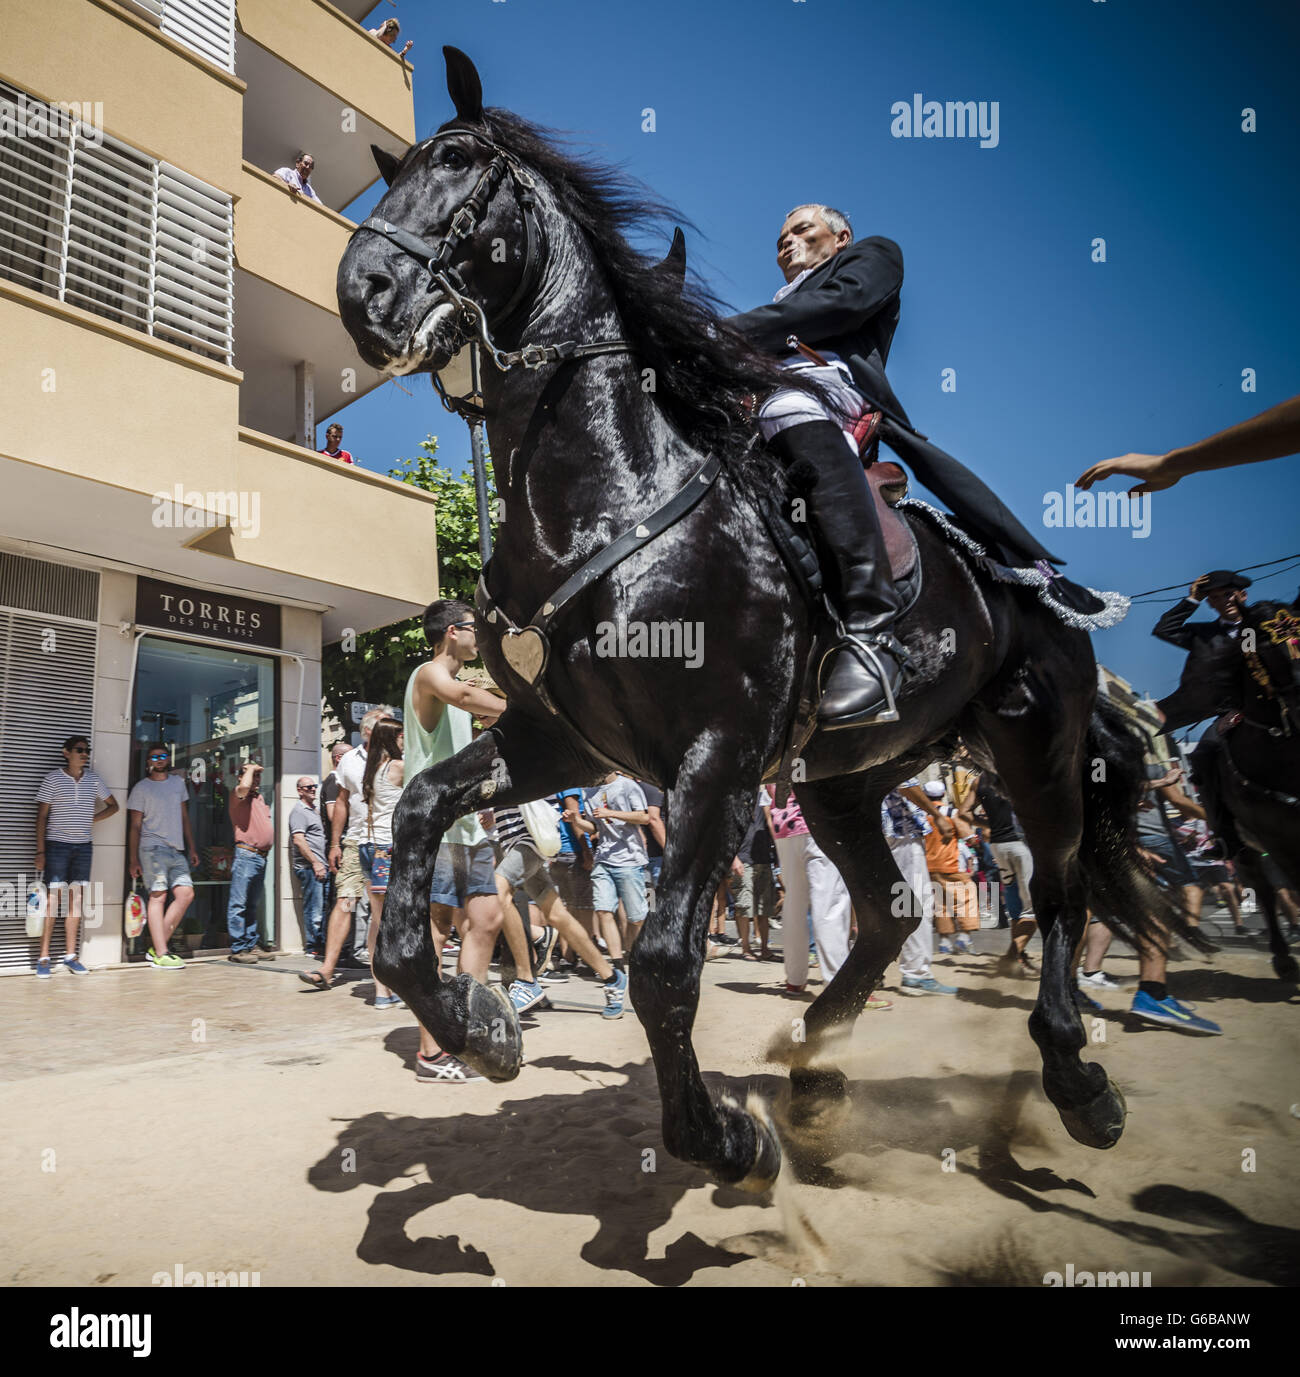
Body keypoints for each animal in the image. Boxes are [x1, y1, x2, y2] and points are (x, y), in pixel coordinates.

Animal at [333, 50, 1200, 1195]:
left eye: (463, 167)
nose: (362, 292)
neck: (605, 494)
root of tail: (1034, 583)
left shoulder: (719, 756)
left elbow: (662, 963)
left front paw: (721, 1140)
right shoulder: (562, 741)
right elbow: (421, 822)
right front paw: (480, 1028)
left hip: (1036, 750)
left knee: (1058, 893)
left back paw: (1072, 1079)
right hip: (848, 781)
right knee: (890, 913)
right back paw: (818, 1072)